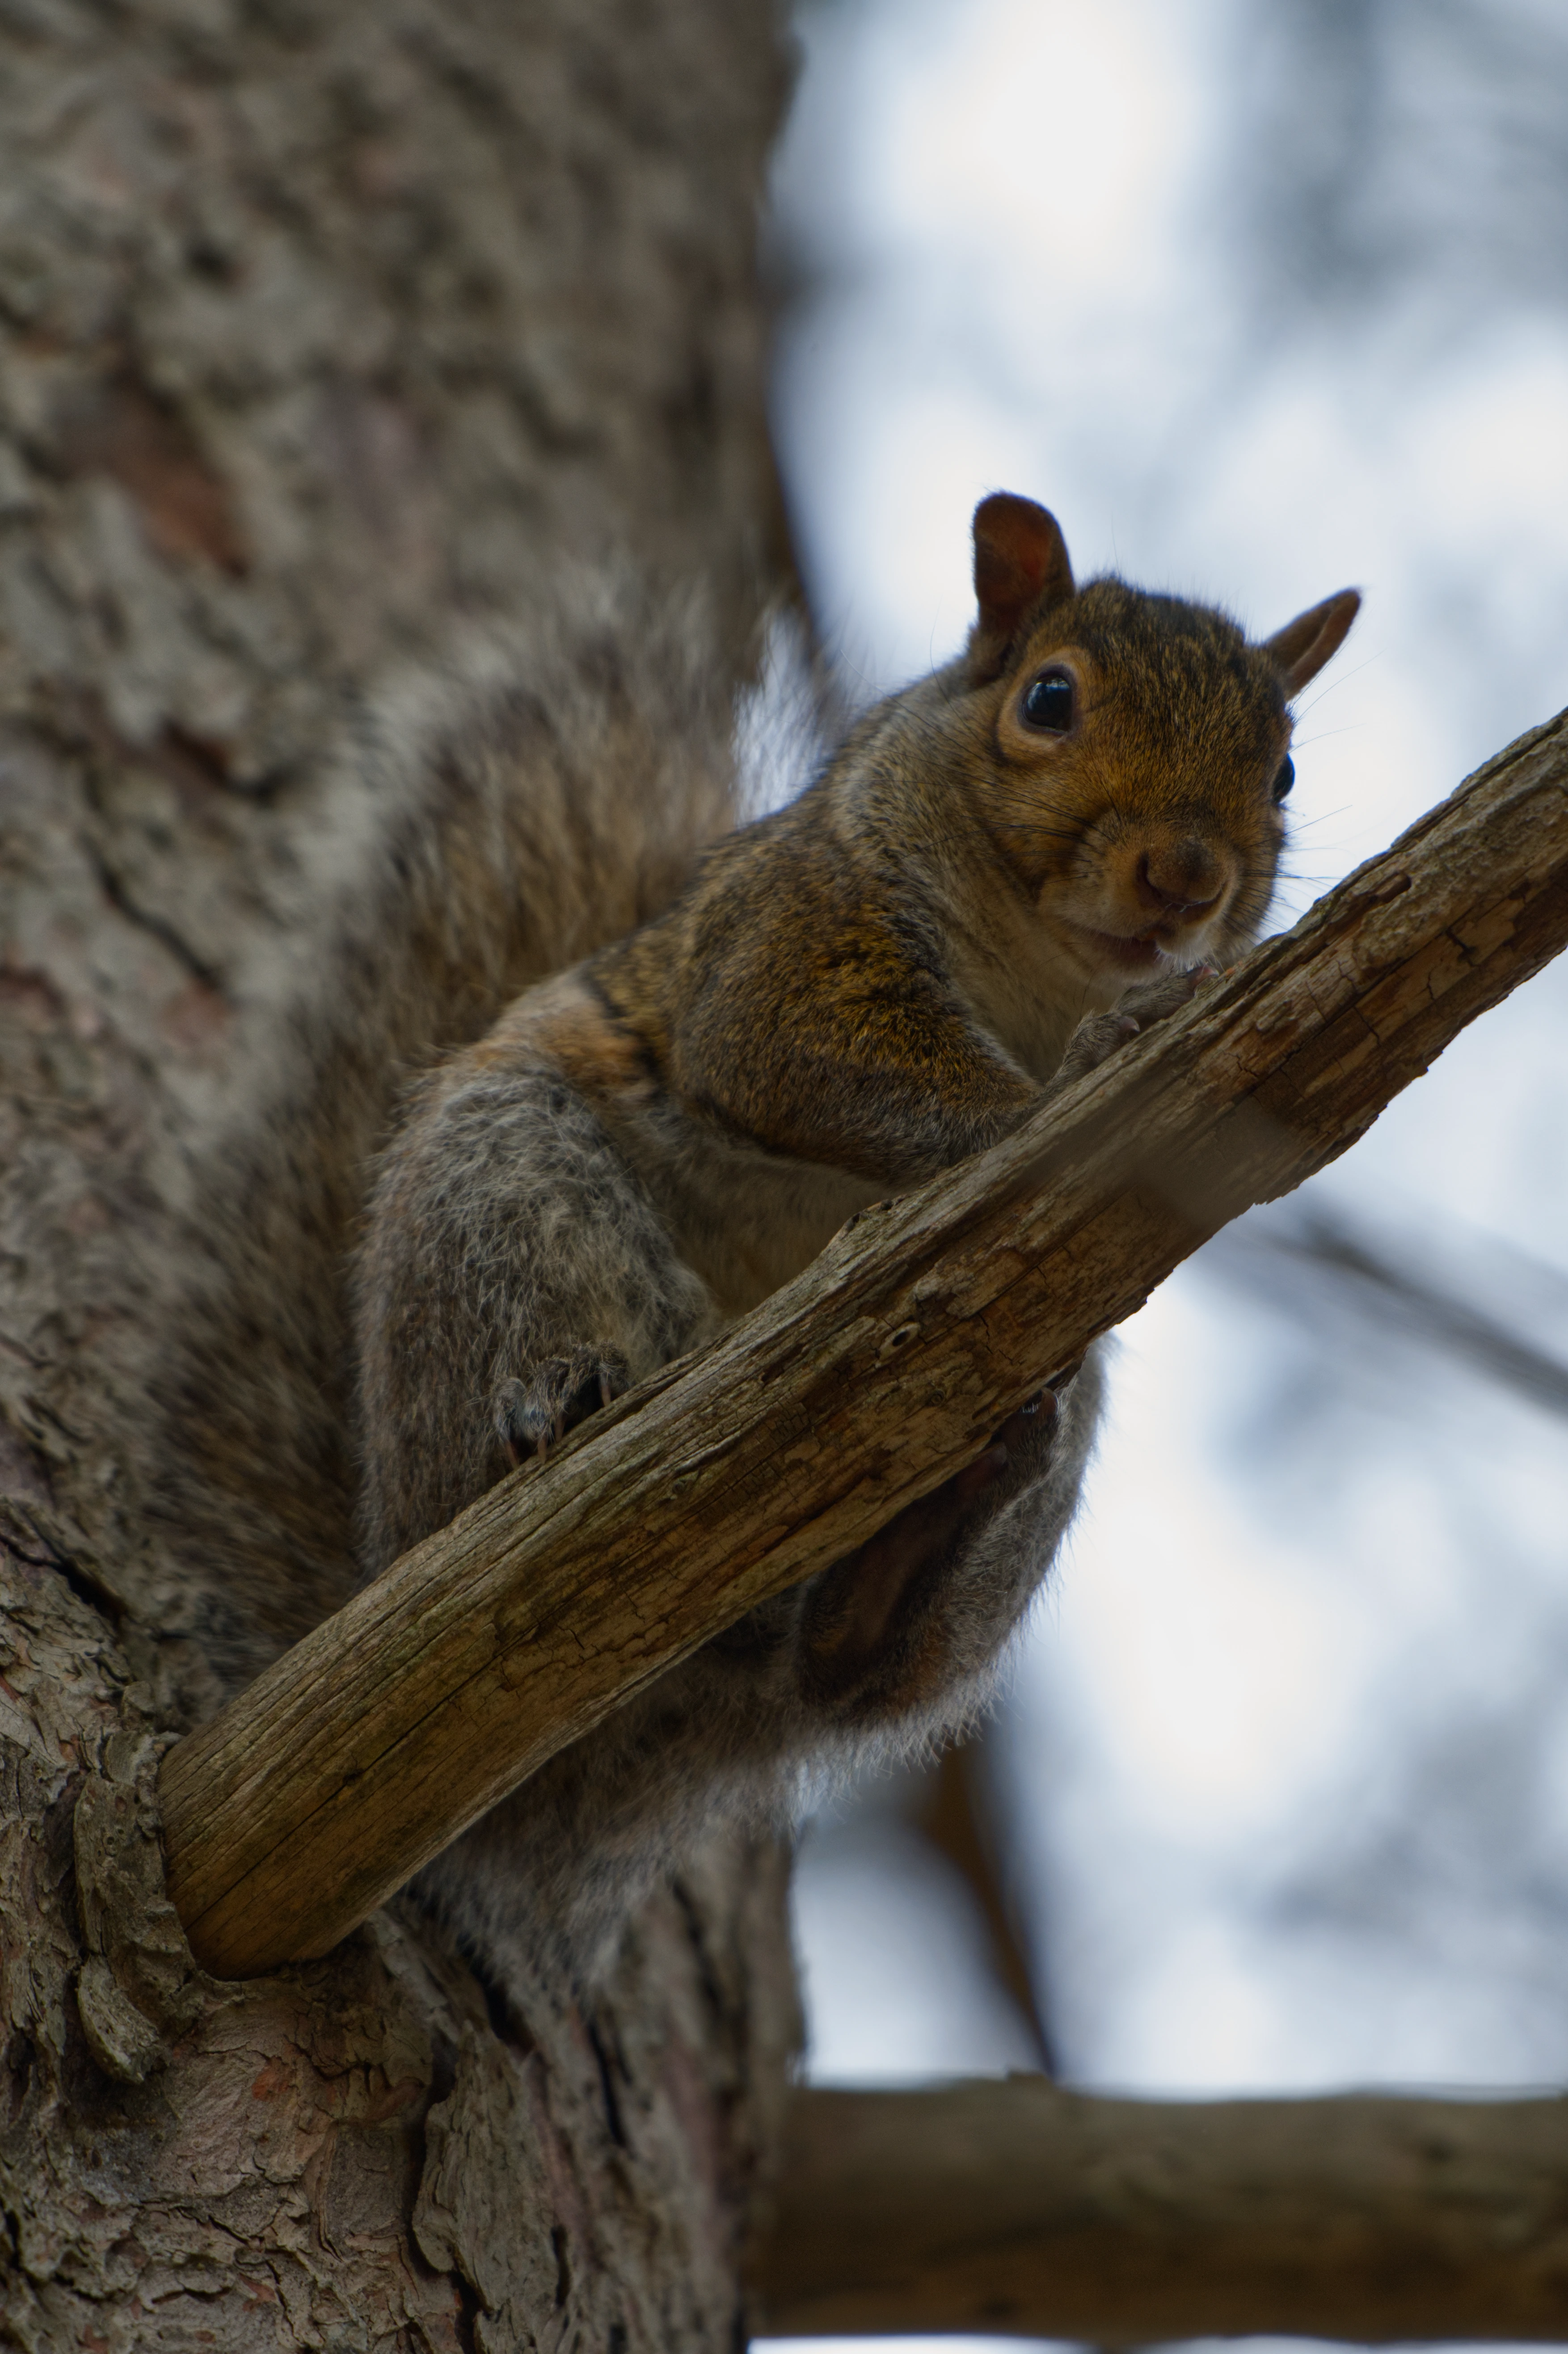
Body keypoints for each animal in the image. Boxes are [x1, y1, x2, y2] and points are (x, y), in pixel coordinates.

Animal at [141, 496, 1358, 1994]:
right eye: (1048, 699)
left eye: (1285, 769)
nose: (1185, 876)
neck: (1041, 968)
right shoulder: (791, 926)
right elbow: (795, 1050)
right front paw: (1067, 1080)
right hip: (501, 1197)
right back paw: (546, 1424)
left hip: (1025, 1448)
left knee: (836, 1675)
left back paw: (917, 1541)